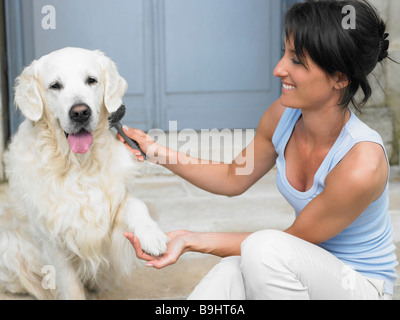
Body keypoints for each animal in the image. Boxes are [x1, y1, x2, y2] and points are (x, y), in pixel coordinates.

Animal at [0, 48, 169, 300]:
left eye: (91, 80)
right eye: (55, 85)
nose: (80, 112)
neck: (78, 164)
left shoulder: (112, 208)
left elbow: (137, 206)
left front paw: (152, 235)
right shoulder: (52, 239)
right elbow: (70, 286)